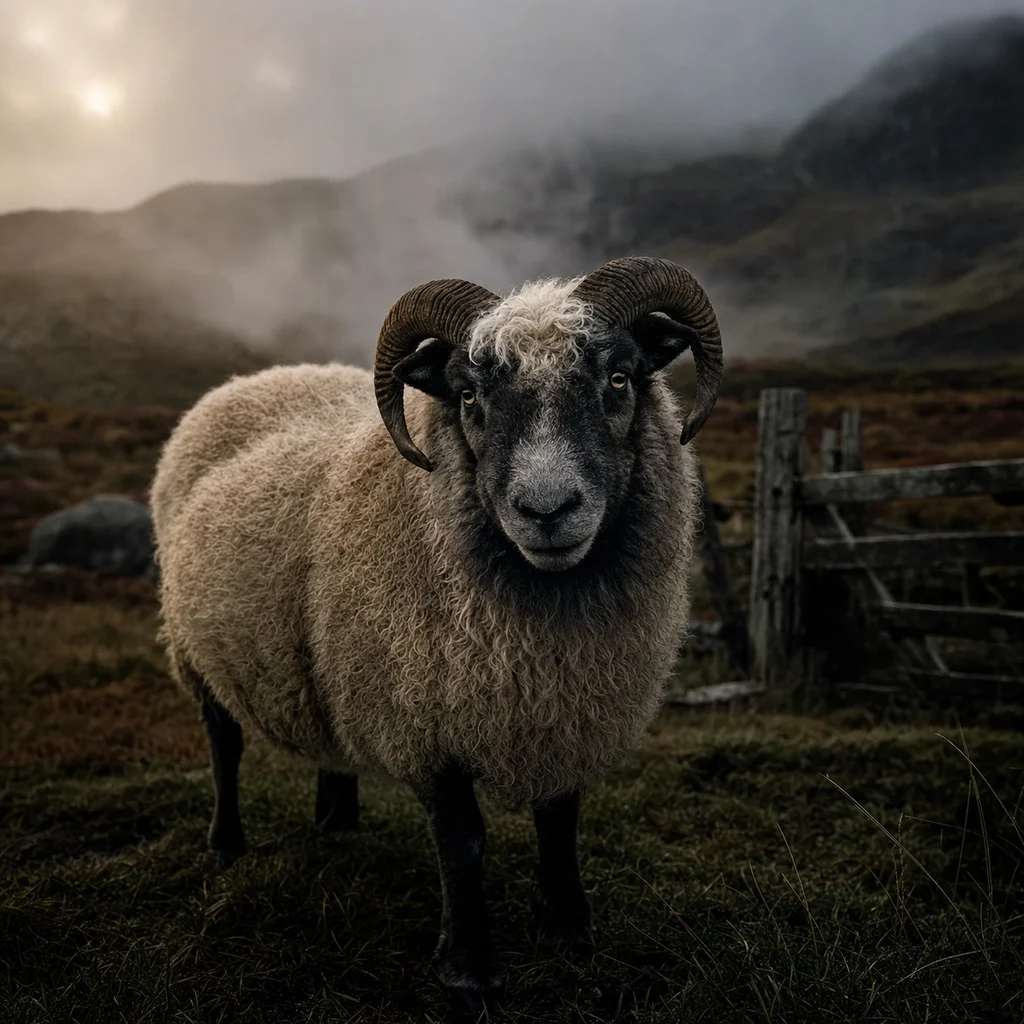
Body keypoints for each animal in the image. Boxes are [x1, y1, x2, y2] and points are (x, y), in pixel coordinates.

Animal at [151, 255, 724, 1012]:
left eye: (620, 378)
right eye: (469, 396)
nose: (548, 510)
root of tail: (260, 377)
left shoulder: (570, 704)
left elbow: (560, 818)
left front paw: (569, 928)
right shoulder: (423, 719)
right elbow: (462, 841)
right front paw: (468, 965)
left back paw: (337, 819)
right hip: (194, 647)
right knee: (223, 743)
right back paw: (225, 843)